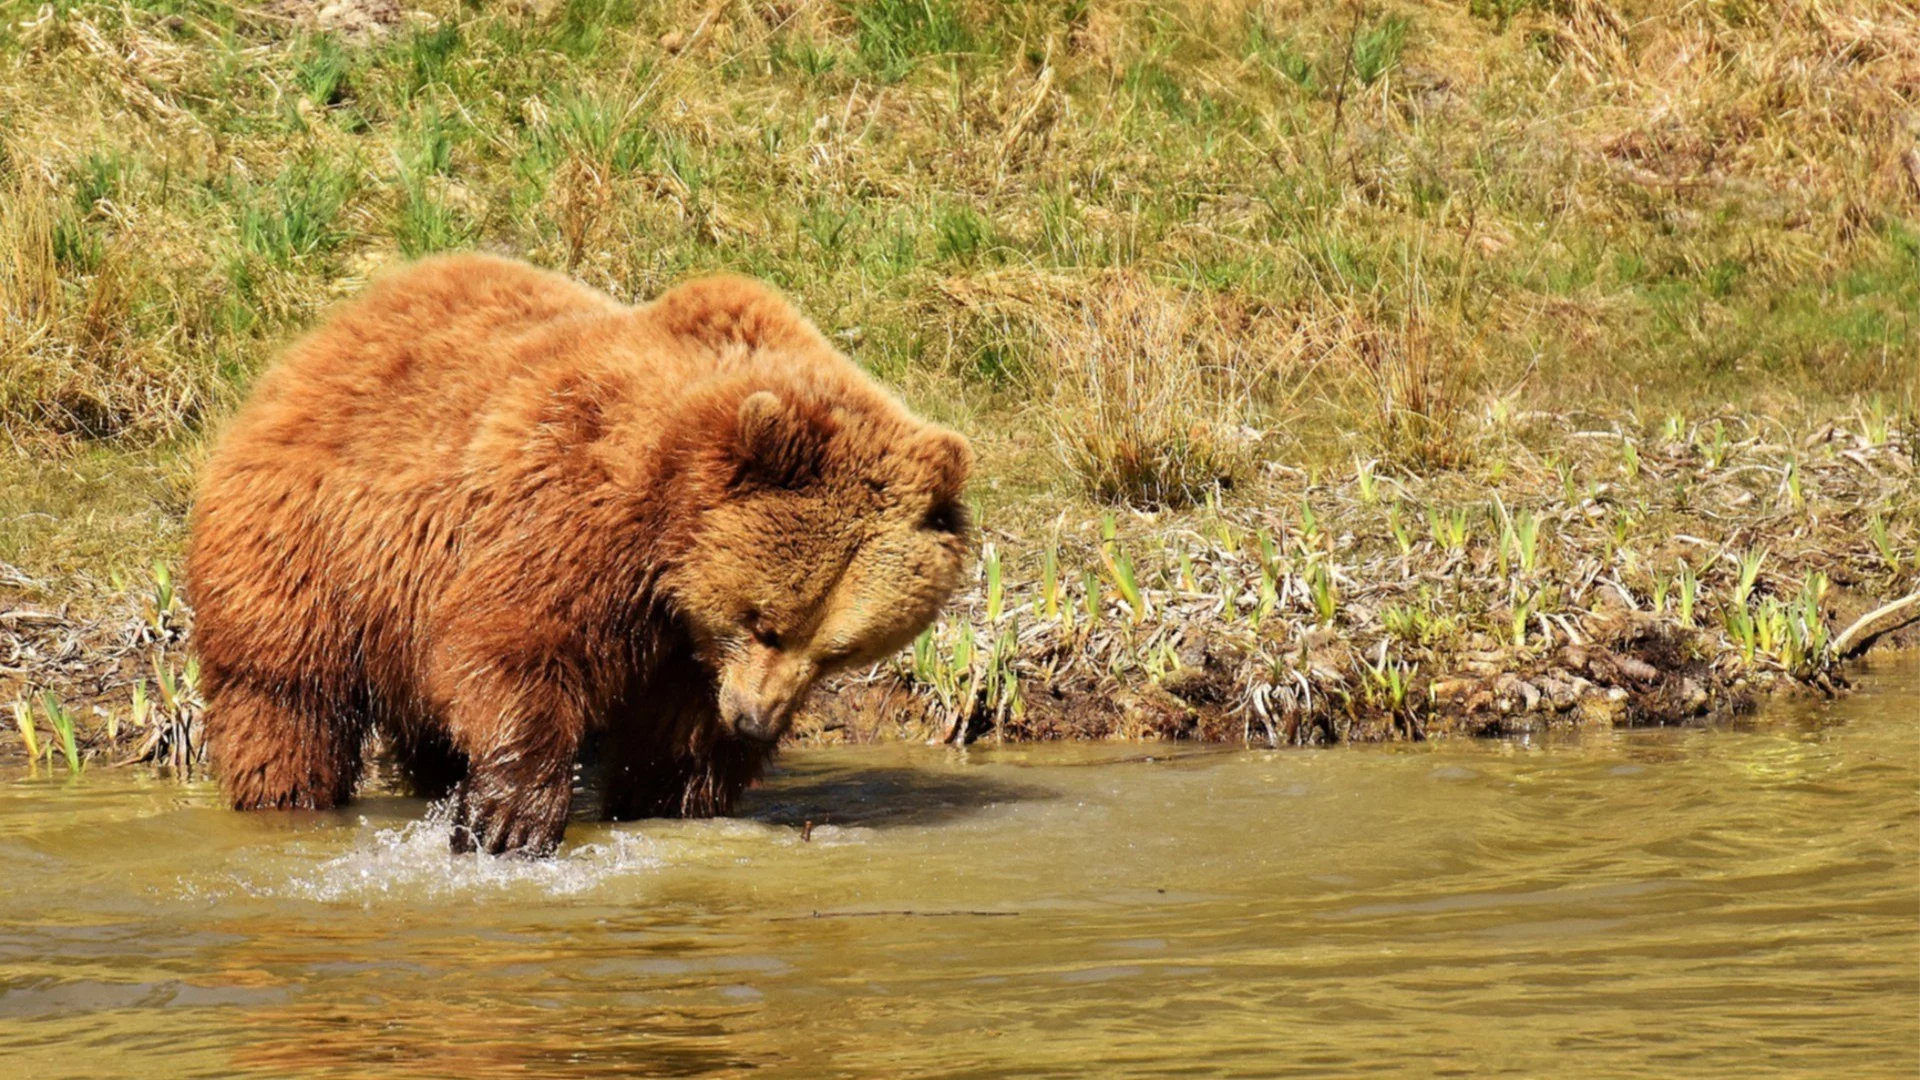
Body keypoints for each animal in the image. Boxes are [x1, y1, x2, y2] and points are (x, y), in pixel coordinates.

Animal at [191, 251, 975, 849]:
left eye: (839, 652)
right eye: (766, 622)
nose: (755, 720)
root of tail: (325, 335)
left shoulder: (688, 648)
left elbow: (675, 739)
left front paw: (673, 799)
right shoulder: (576, 507)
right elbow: (513, 640)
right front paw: (510, 818)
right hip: (311, 545)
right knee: (285, 697)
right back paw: (289, 797)